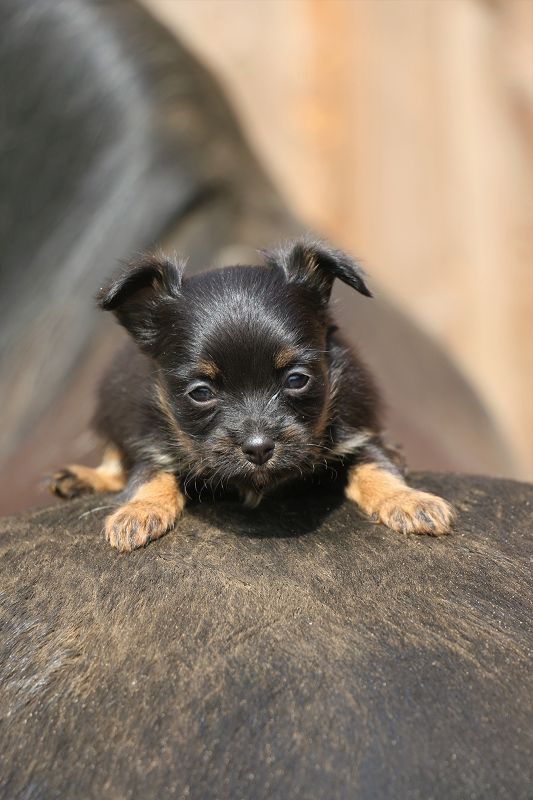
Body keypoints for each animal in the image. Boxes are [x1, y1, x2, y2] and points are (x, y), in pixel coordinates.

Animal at [48, 238, 454, 552]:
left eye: (297, 380)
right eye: (201, 392)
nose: (259, 449)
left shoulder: (357, 431)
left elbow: (377, 465)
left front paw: (407, 499)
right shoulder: (150, 437)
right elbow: (149, 473)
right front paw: (139, 510)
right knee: (113, 460)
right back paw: (82, 478)